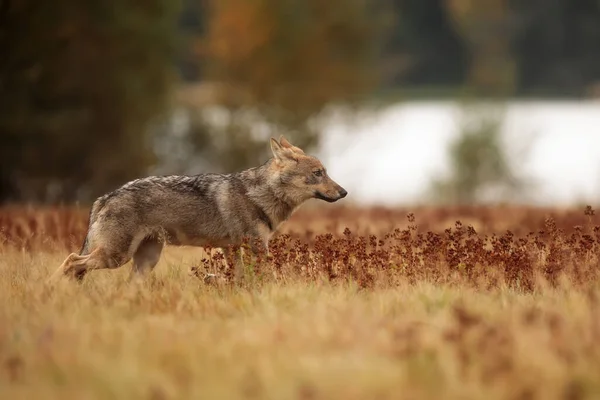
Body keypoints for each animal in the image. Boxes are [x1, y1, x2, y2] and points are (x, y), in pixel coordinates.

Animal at [49, 138, 350, 284]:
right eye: (318, 173)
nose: (344, 192)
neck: (260, 195)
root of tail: (104, 197)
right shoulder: (257, 247)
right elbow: (270, 275)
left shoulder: (231, 248)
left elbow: (239, 278)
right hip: (116, 257)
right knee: (71, 261)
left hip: (144, 261)